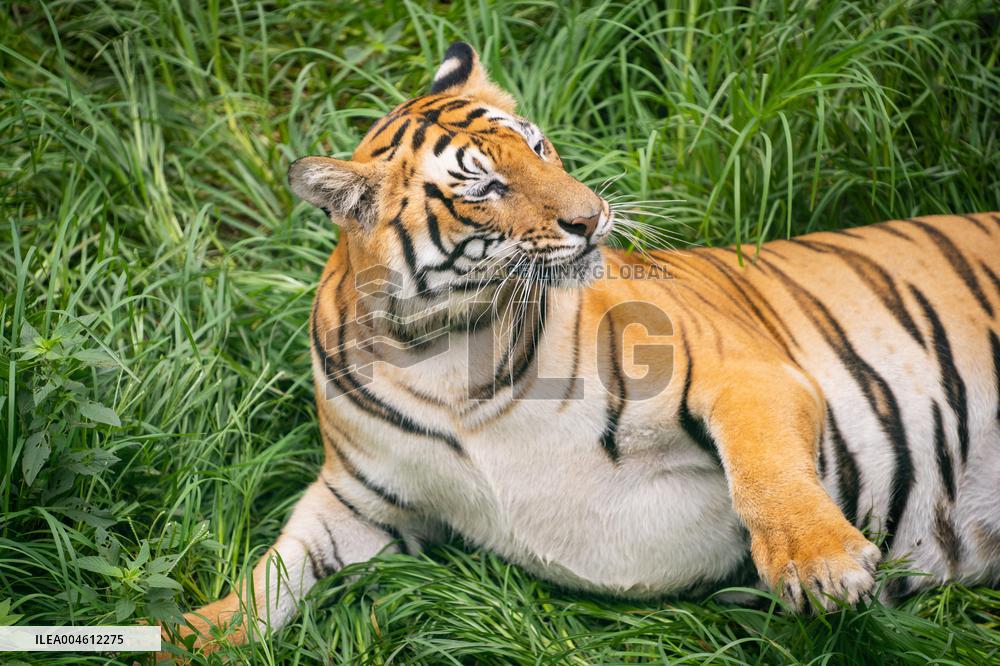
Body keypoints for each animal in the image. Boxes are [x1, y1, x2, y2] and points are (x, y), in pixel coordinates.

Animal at [167, 42, 1000, 652]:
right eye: (483, 186)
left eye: (540, 147)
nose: (591, 216)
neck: (446, 350)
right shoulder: (361, 500)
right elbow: (277, 570)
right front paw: (191, 637)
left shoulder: (741, 370)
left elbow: (765, 470)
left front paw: (818, 561)